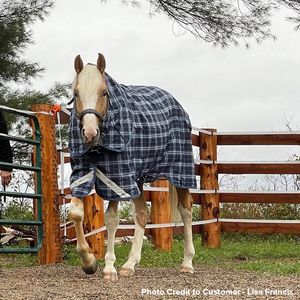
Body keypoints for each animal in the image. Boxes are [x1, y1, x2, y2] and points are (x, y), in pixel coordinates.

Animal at [69, 52, 198, 282]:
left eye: (104, 92)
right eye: (76, 93)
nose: (90, 133)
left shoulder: (116, 177)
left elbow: (111, 220)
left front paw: (109, 268)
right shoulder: (81, 173)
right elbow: (75, 213)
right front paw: (89, 262)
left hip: (179, 170)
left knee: (186, 210)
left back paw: (187, 263)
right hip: (138, 177)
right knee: (142, 214)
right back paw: (130, 265)